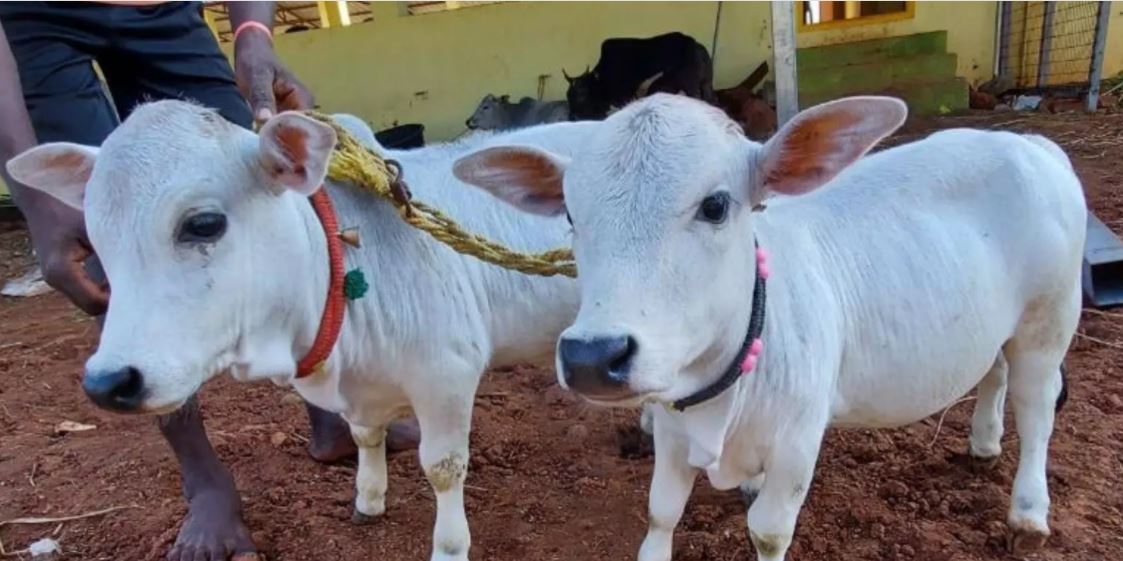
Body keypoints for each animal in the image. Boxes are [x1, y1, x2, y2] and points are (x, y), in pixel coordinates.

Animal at [6, 102, 597, 561]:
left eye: (203, 224)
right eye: (96, 236)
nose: (109, 382)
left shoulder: (447, 373)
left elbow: (444, 468)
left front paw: (449, 546)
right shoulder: (363, 392)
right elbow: (365, 436)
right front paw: (368, 499)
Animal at [451, 94, 1082, 558]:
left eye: (715, 205)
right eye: (570, 214)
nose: (592, 356)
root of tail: (1029, 143)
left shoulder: (798, 442)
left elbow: (769, 530)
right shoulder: (670, 433)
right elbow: (661, 512)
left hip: (1049, 317)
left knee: (1037, 406)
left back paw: (1028, 511)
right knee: (994, 371)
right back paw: (983, 442)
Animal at [565, 31, 714, 119]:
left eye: (582, 94)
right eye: (568, 95)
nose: (572, 116)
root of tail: (695, 44)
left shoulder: (623, 97)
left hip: (691, 87)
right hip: (706, 84)